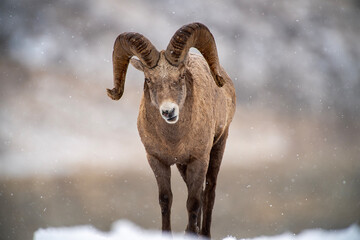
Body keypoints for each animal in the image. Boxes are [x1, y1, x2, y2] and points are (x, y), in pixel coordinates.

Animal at [107, 23, 236, 238]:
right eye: (148, 79)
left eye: (181, 75)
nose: (169, 111)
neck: (173, 140)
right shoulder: (157, 160)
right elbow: (166, 200)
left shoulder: (198, 160)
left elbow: (193, 202)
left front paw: (192, 234)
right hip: (182, 166)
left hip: (218, 146)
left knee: (209, 191)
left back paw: (204, 233)